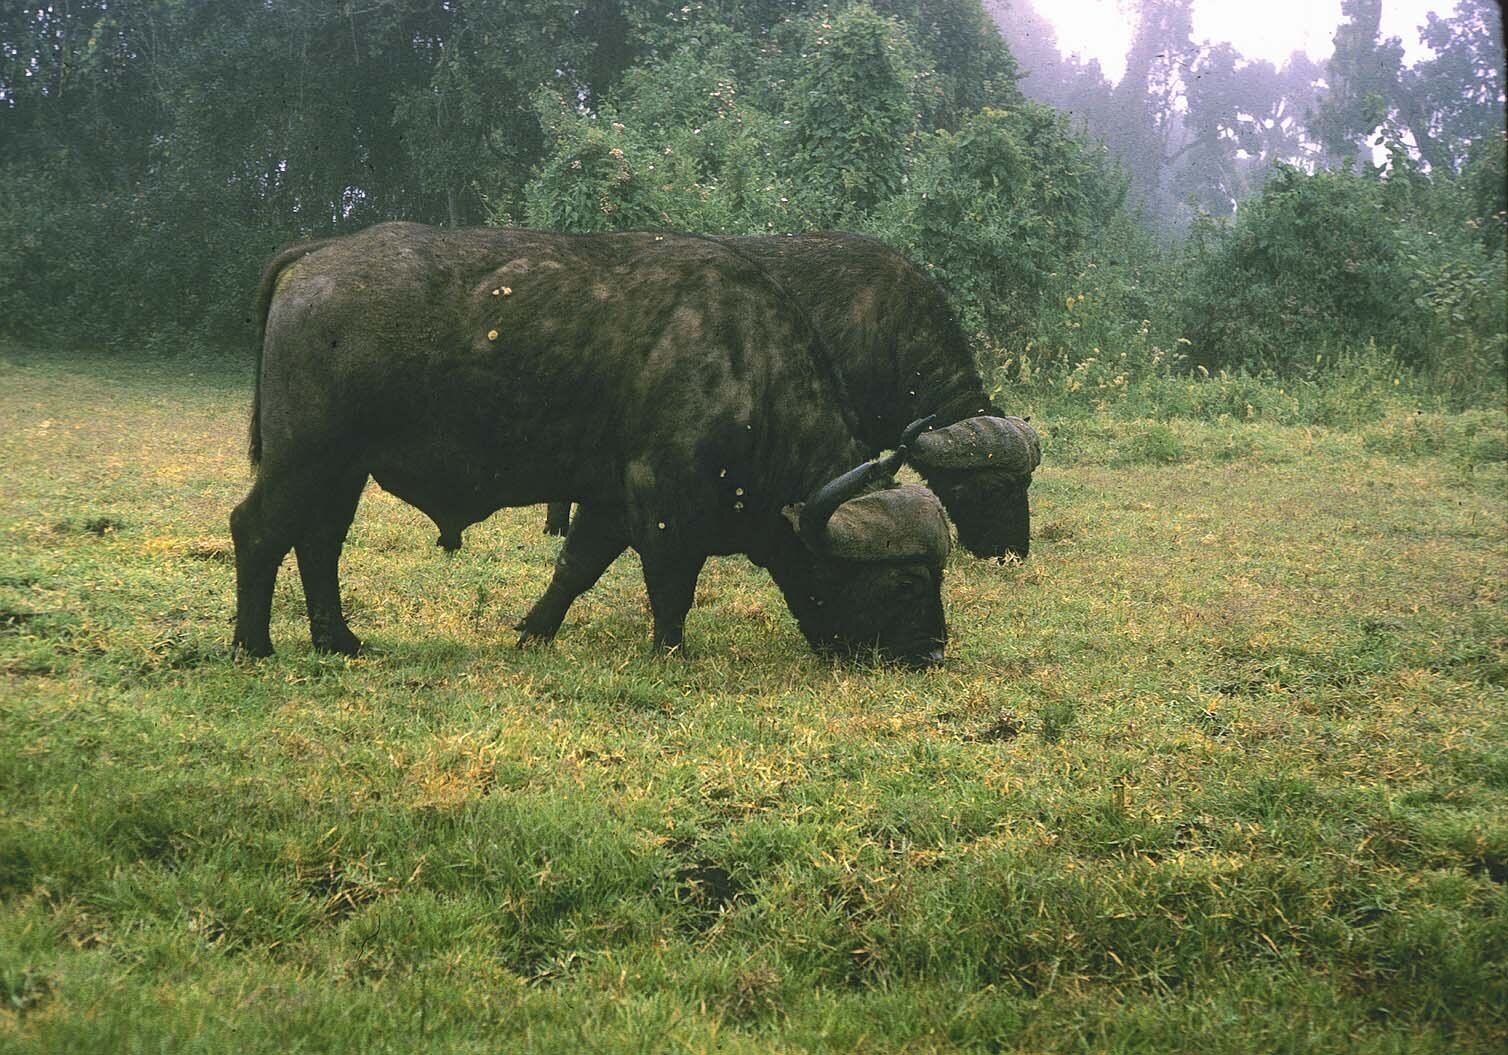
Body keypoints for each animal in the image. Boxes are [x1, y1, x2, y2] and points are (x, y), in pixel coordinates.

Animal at [229, 223, 947, 666]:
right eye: (907, 581)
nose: (934, 650)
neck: (746, 363)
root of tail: (313, 257)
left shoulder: (609, 503)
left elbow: (574, 567)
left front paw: (532, 630)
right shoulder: (665, 503)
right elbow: (671, 584)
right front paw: (671, 651)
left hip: (341, 471)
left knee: (318, 541)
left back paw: (338, 639)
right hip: (304, 459)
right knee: (258, 530)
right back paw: (252, 644)